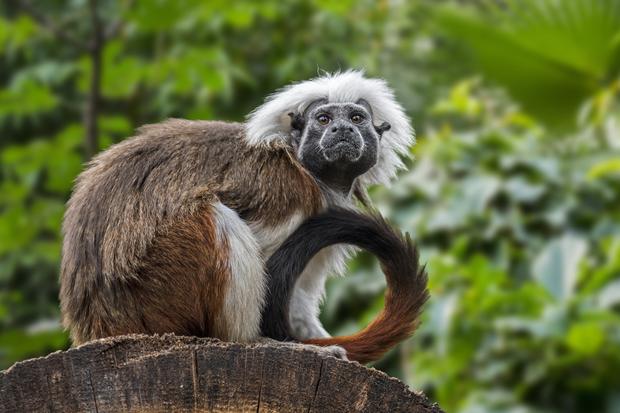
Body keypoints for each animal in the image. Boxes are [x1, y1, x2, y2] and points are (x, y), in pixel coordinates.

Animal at [59, 69, 416, 358]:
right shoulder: (288, 193)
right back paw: (250, 342)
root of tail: (101, 326)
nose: (342, 130)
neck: (309, 170)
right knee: (214, 217)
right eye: (324, 119)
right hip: (156, 292)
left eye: (356, 119)